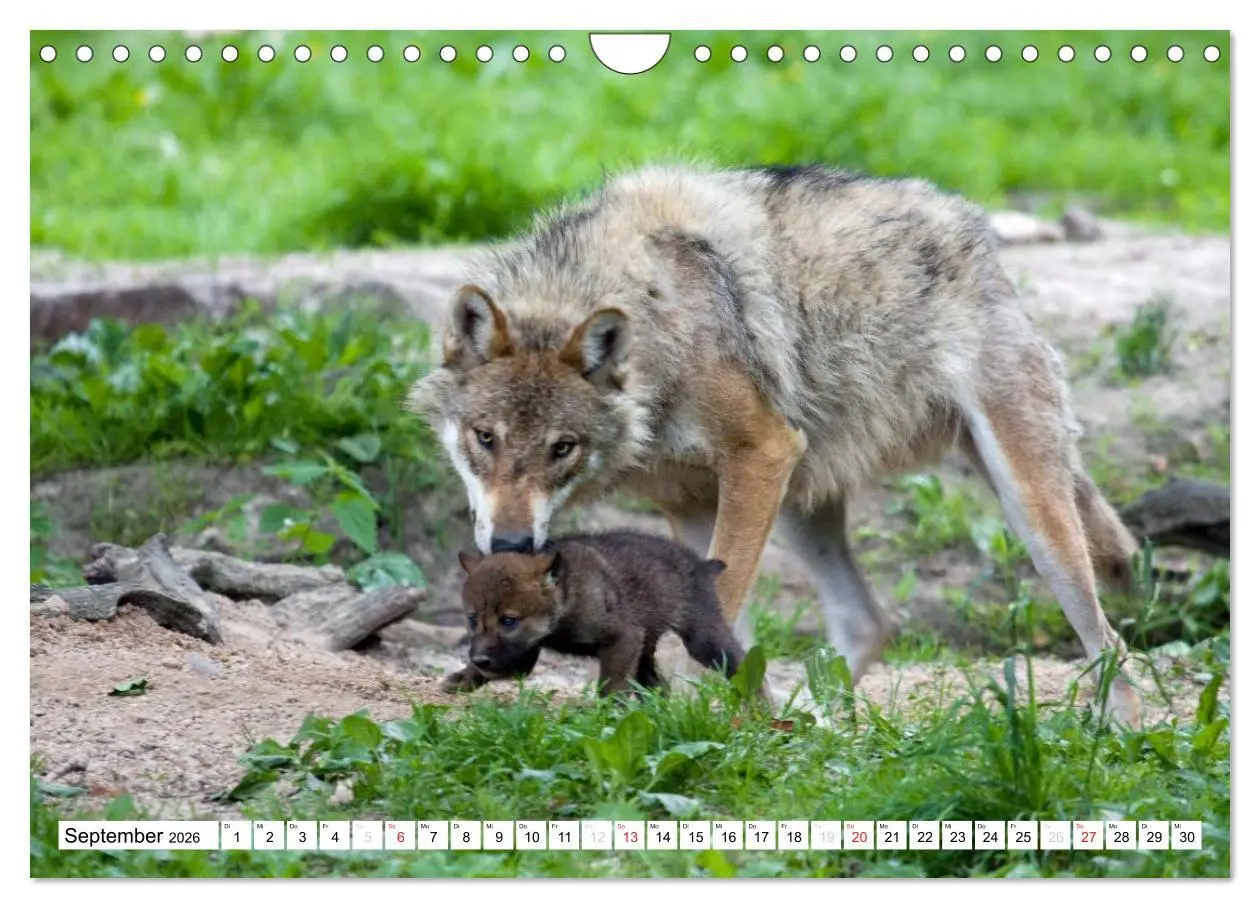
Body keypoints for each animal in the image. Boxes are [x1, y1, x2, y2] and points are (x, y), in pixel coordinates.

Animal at [442, 530, 751, 697]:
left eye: (508, 621)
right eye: (472, 620)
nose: (480, 659)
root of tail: (702, 564)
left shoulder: (623, 636)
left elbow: (611, 685)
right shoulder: (521, 657)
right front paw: (464, 676)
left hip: (703, 639)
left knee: (742, 663)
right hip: (646, 651)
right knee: (658, 686)